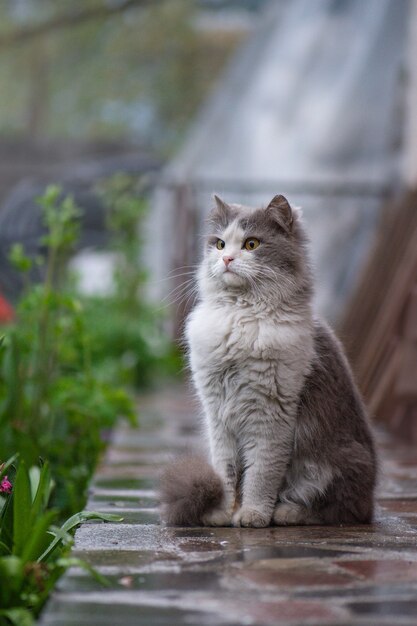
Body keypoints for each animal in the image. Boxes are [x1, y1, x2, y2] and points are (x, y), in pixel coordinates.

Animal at [160, 193, 376, 524]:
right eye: (220, 244)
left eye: (251, 244)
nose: (227, 259)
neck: (239, 315)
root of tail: (372, 498)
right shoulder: (218, 415)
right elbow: (226, 473)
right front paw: (221, 513)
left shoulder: (271, 415)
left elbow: (260, 474)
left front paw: (252, 515)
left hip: (335, 464)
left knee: (337, 509)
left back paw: (287, 512)